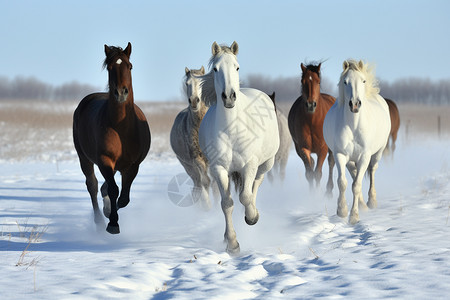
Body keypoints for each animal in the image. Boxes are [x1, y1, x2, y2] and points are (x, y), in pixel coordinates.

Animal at [73, 42, 151, 234]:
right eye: (109, 67)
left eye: (130, 66)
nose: (121, 92)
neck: (121, 128)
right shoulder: (105, 161)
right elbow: (114, 190)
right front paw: (112, 222)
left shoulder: (132, 165)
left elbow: (123, 197)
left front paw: (110, 211)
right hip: (84, 158)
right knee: (92, 185)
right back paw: (99, 220)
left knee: (103, 188)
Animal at [170, 67, 212, 210]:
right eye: (187, 83)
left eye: (201, 83)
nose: (194, 101)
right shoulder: (197, 159)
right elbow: (205, 182)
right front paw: (209, 207)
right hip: (188, 166)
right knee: (197, 185)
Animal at [200, 41, 280, 253]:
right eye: (215, 68)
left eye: (237, 67)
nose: (229, 97)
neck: (232, 130)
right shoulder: (219, 169)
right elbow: (227, 204)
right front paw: (232, 243)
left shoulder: (249, 164)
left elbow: (245, 196)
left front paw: (252, 217)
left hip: (266, 163)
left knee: (256, 184)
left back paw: (253, 212)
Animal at [290, 63, 336, 195]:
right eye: (303, 81)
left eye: (318, 82)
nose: (311, 105)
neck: (312, 121)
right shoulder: (303, 148)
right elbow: (310, 173)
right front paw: (312, 195)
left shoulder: (323, 149)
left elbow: (318, 173)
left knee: (331, 163)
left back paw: (329, 191)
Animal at [324, 59, 390, 224]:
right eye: (345, 81)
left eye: (363, 80)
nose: (354, 104)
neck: (353, 126)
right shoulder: (340, 155)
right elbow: (343, 183)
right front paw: (342, 210)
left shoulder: (364, 156)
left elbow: (357, 185)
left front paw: (354, 216)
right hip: (350, 160)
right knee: (353, 174)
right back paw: (362, 204)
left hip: (377, 153)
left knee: (372, 170)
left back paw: (371, 202)